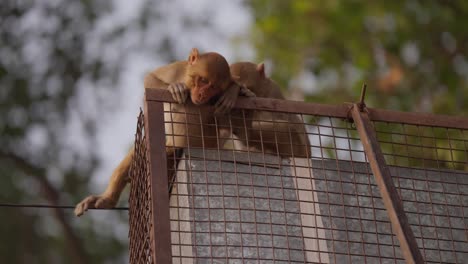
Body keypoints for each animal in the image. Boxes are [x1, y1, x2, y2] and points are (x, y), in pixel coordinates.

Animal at [74, 48, 249, 217]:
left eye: (213, 88)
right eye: (203, 80)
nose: (202, 94)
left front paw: (234, 92)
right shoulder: (177, 69)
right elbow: (150, 78)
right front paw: (175, 88)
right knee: (142, 148)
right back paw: (107, 200)